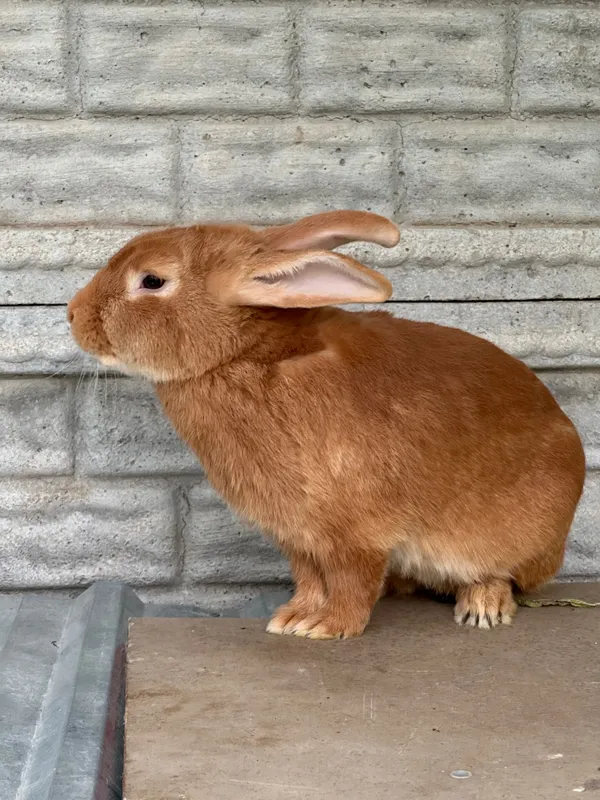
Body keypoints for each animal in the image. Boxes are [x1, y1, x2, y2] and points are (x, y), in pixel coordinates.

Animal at [68, 210, 586, 640]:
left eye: (152, 280)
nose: (72, 315)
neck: (240, 354)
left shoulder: (355, 530)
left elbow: (352, 579)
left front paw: (330, 627)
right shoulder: (300, 536)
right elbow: (310, 578)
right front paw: (292, 618)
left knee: (505, 576)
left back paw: (482, 606)